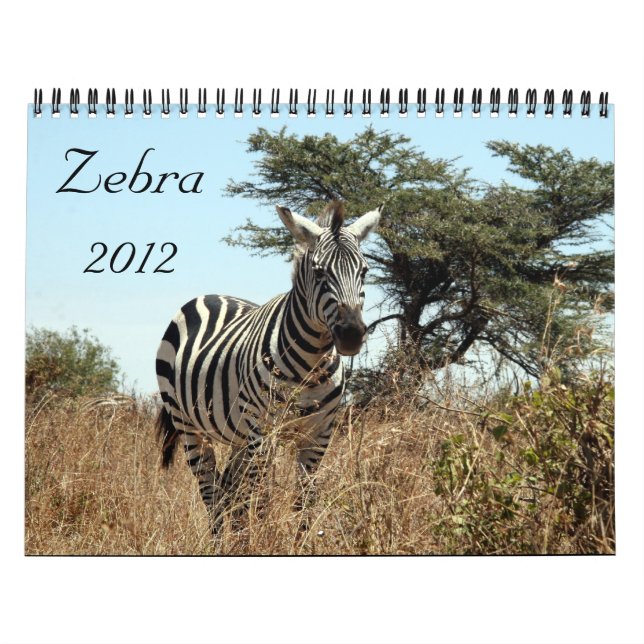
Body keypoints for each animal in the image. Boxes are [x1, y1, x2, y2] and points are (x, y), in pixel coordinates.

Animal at [155, 200, 381, 533]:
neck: (310, 367)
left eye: (364, 271)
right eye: (319, 273)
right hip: (189, 425)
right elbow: (262, 501)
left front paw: (300, 540)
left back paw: (236, 538)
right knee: (211, 492)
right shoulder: (263, 433)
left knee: (229, 491)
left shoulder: (319, 435)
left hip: (238, 435)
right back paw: (220, 539)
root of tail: (209, 295)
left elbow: (304, 502)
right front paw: (263, 539)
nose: (351, 333)